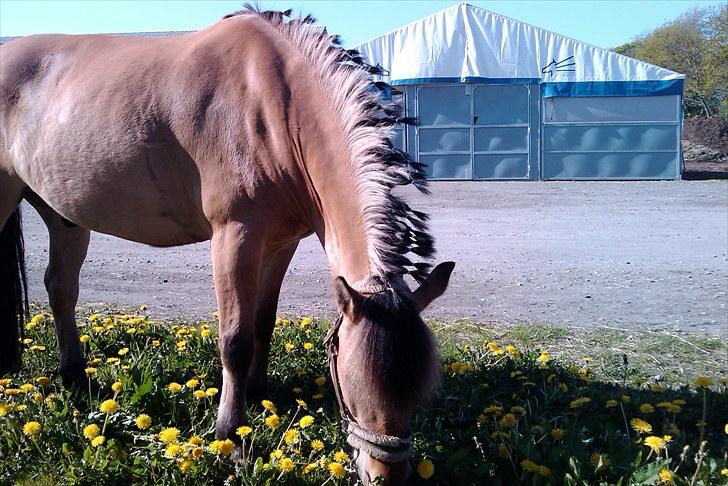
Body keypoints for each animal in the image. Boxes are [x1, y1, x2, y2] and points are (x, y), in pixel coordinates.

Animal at [1, 6, 456, 482]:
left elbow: (263, 323)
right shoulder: (234, 235)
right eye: (354, 381)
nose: (386, 476)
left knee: (61, 288)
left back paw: (75, 377)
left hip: (64, 217)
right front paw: (231, 438)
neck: (277, 105)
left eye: (418, 389)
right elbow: (235, 339)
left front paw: (257, 394)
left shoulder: (281, 243)